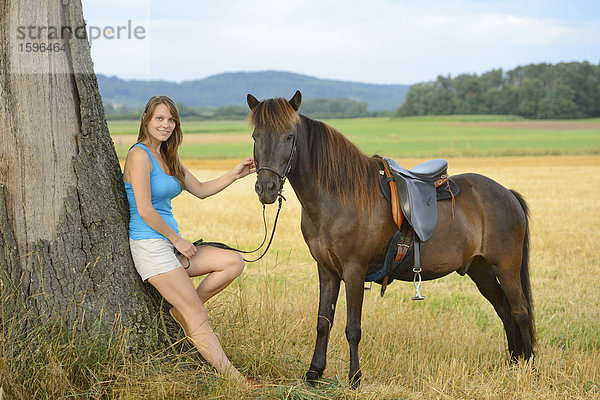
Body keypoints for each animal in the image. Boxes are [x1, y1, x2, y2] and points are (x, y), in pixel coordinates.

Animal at [246, 90, 536, 388]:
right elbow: (323, 321)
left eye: (289, 136)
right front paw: (314, 373)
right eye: (256, 136)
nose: (266, 188)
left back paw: (531, 368)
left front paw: (355, 378)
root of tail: (507, 193)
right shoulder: (326, 270)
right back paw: (515, 364)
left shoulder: (354, 270)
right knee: (504, 309)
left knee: (520, 310)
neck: (338, 195)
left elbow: (353, 327)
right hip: (482, 270)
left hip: (506, 267)